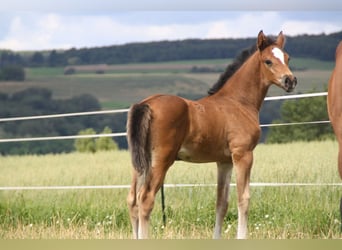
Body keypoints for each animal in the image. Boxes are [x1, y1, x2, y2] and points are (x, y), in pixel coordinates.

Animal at [125, 30, 296, 238]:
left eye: (287, 58)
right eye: (268, 61)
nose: (290, 81)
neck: (238, 102)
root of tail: (146, 104)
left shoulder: (224, 161)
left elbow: (221, 203)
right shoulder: (243, 155)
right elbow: (243, 199)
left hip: (140, 162)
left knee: (132, 200)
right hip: (161, 160)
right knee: (145, 199)